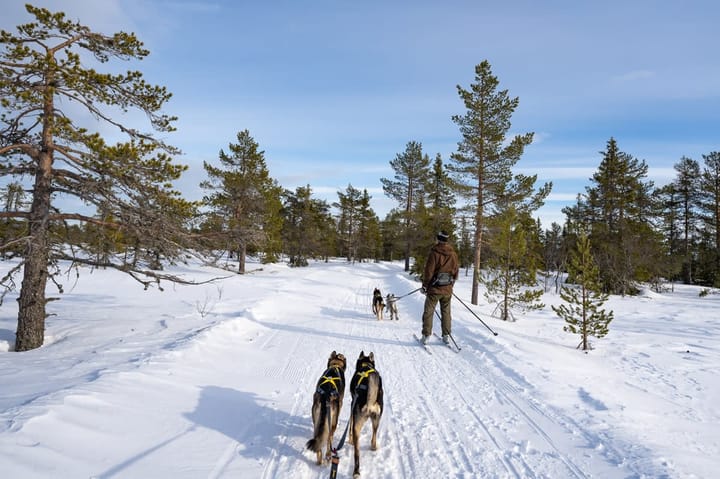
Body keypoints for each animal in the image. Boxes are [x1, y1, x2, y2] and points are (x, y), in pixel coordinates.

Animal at [348, 350, 382, 478]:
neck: (366, 366)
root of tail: (369, 403)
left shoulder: (352, 406)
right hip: (376, 419)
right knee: (374, 436)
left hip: (357, 424)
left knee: (357, 453)